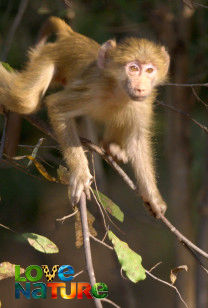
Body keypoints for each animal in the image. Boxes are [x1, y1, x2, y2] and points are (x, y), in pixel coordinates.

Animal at [0, 16, 170, 217]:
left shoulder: (142, 104)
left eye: (150, 70)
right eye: (134, 68)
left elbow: (136, 141)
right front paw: (80, 174)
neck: (118, 90)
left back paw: (111, 147)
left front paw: (152, 197)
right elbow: (57, 106)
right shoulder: (95, 88)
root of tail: (72, 36)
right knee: (25, 100)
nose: (140, 87)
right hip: (48, 56)